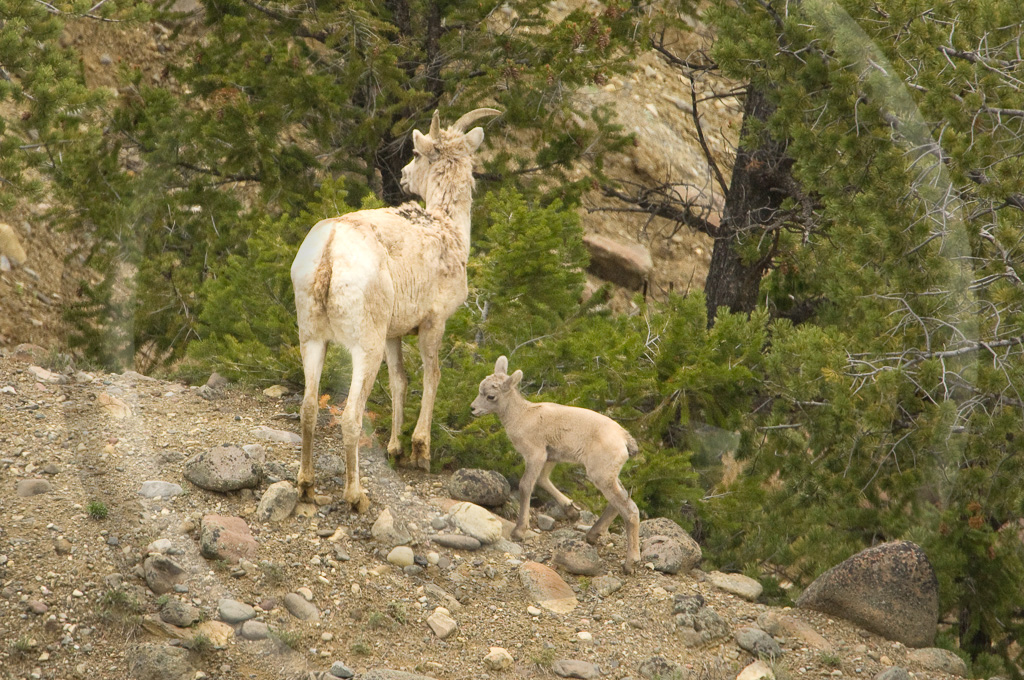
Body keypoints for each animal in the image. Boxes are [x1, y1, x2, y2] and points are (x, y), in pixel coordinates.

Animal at [292, 107, 499, 510]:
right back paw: (356, 497)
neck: (450, 231)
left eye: (415, 155)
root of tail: (329, 252)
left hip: (312, 338)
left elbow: (400, 382)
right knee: (351, 417)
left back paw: (307, 488)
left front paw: (395, 451)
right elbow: (432, 377)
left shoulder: (394, 334)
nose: (403, 174)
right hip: (364, 346)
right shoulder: (433, 323)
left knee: (308, 408)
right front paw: (420, 452)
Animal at [471, 356, 638, 573]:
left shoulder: (536, 455)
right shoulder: (550, 458)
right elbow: (543, 481)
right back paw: (592, 536)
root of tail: (624, 438)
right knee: (620, 500)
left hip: (600, 475)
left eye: (491, 396)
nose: (473, 409)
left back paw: (630, 563)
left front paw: (518, 531)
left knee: (630, 509)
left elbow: (526, 486)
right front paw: (572, 511)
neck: (522, 417)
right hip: (609, 475)